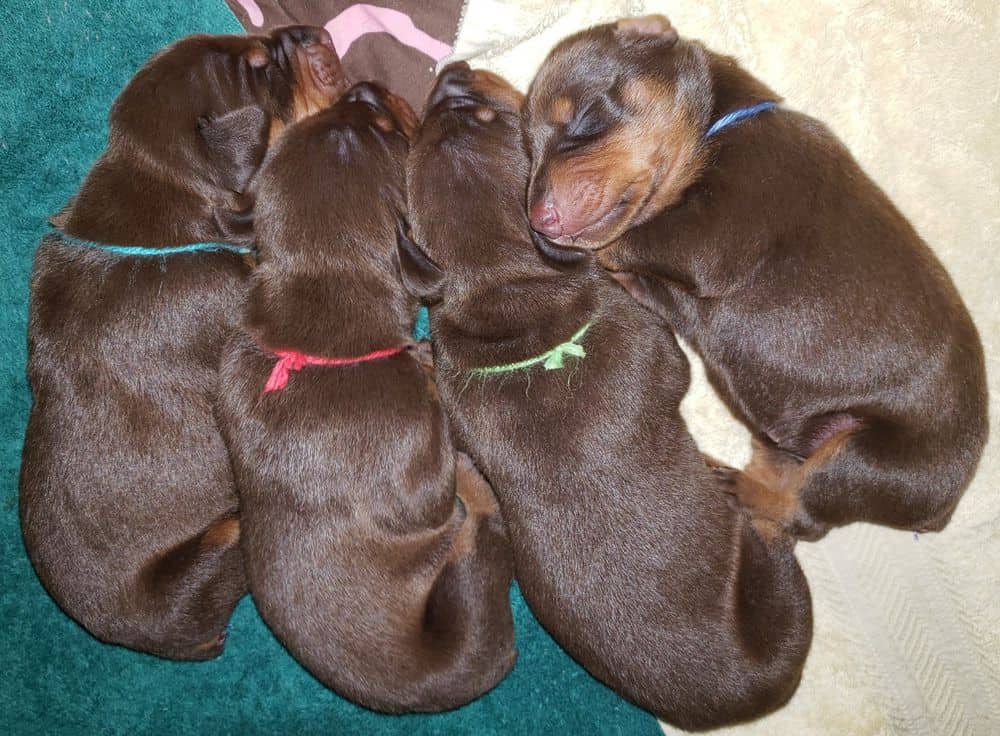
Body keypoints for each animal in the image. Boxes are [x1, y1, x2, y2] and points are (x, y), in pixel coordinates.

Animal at [217, 82, 516, 712]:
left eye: (332, 115)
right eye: (387, 129)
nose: (364, 87)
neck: (318, 331)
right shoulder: (418, 464)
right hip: (464, 584)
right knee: (480, 519)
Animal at [398, 63, 812, 732]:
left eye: (450, 119)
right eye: (505, 120)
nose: (454, 70)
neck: (509, 297)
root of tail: (754, 696)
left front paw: (424, 355)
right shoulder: (656, 348)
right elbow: (673, 358)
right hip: (779, 592)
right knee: (778, 535)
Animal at [528, 12, 988, 540]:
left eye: (583, 118)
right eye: (527, 146)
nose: (538, 218)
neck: (718, 127)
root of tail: (942, 511)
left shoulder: (720, 231)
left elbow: (634, 235)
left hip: (870, 456)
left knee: (806, 515)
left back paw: (740, 490)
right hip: (797, 441)